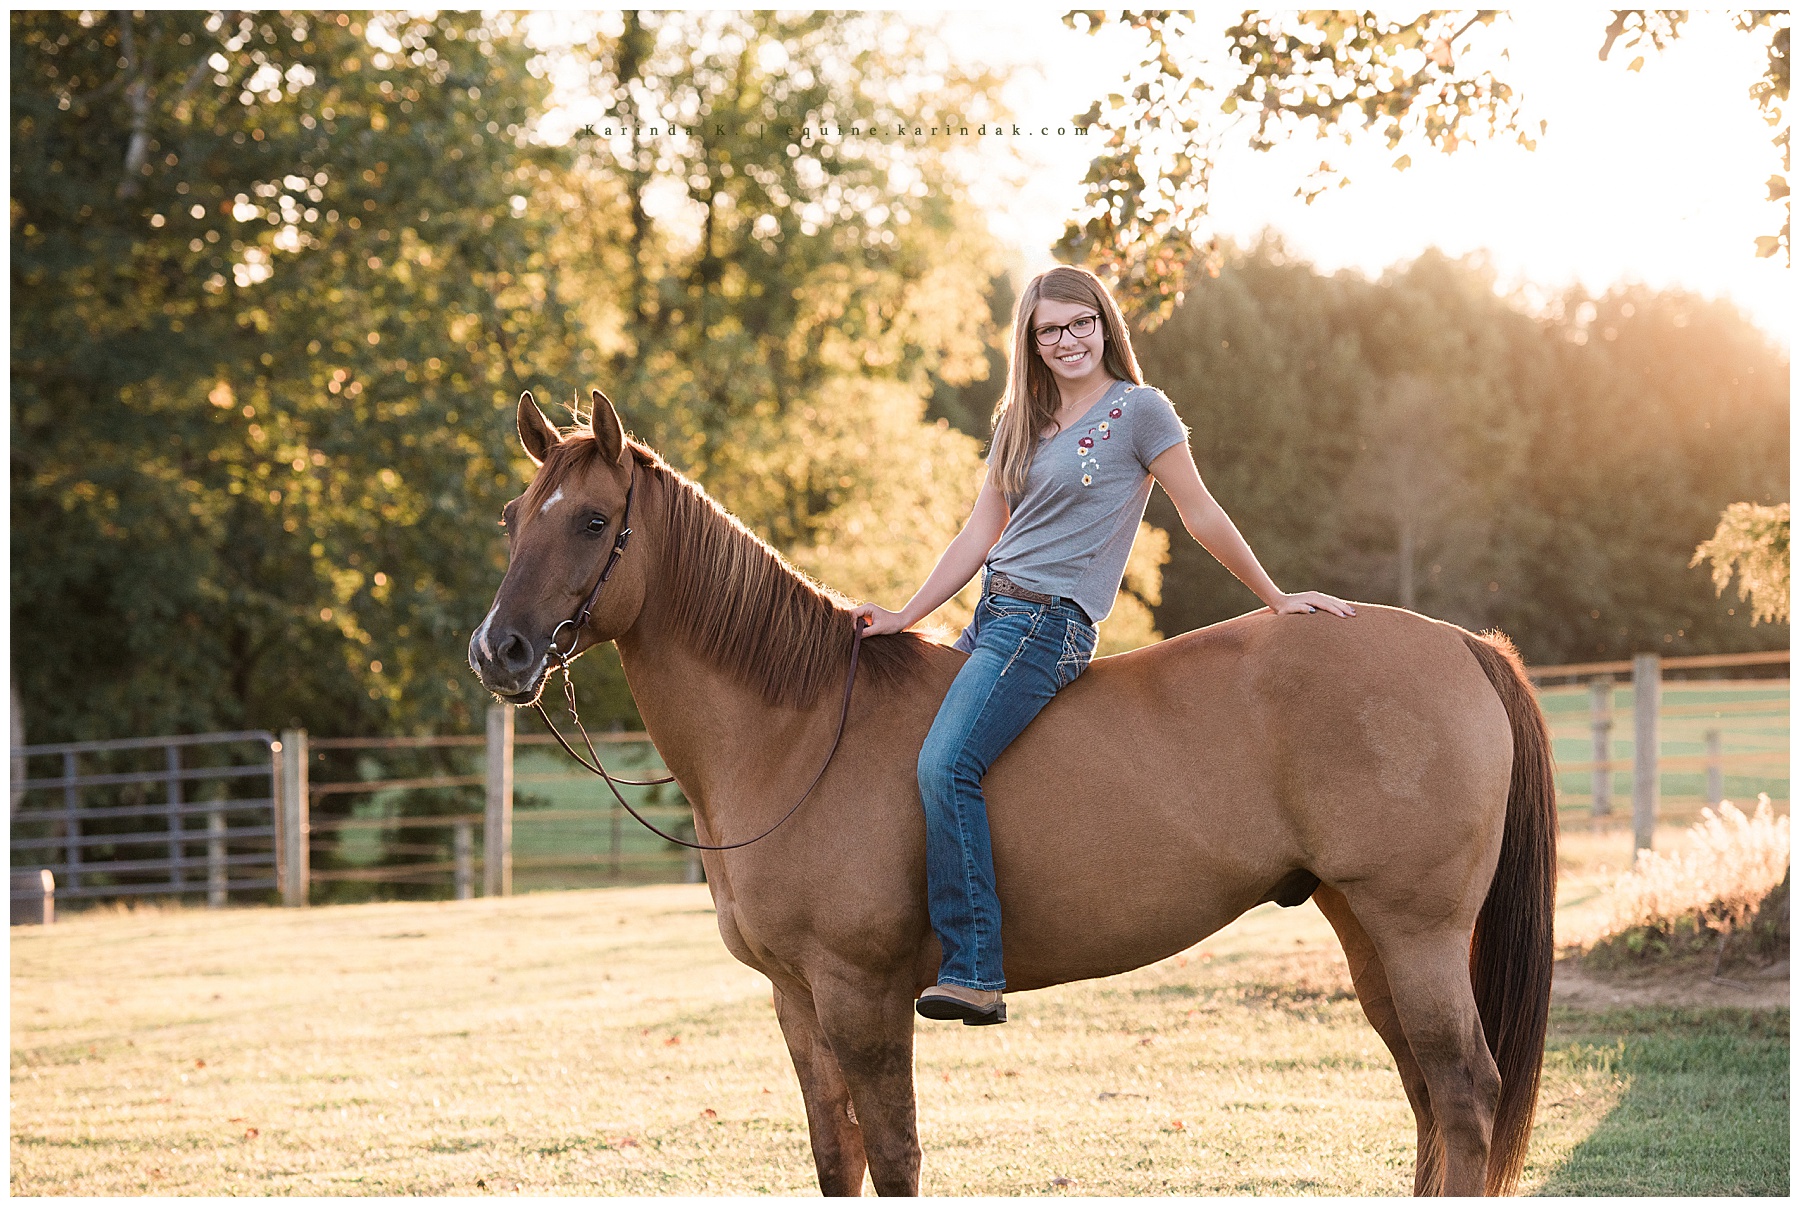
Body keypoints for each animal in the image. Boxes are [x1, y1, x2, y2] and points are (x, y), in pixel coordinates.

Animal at [468, 390, 1557, 1197]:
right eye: (514, 520)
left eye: (594, 521)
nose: (499, 651)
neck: (798, 726)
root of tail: (1461, 642)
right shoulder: (796, 999)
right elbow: (835, 1159)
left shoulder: (863, 995)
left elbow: (895, 1157)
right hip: (1368, 931)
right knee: (1428, 1097)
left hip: (1414, 929)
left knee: (1463, 1096)